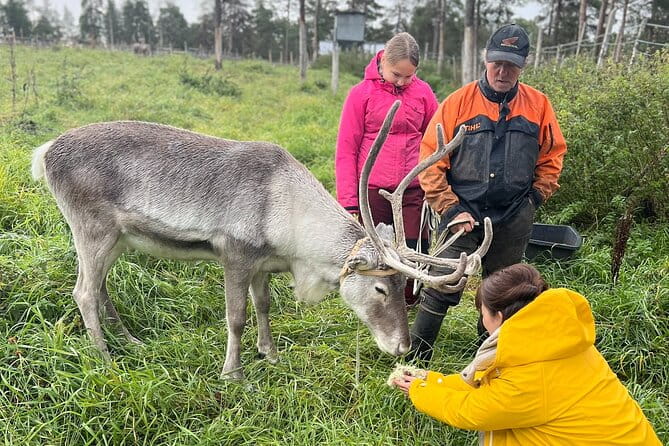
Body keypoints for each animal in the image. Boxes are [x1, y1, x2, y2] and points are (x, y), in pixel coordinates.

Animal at [31, 101, 491, 379]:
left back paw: (130, 342)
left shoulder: (263, 263)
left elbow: (264, 306)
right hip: (92, 228)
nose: (402, 346)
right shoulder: (234, 252)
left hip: (117, 239)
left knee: (100, 287)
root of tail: (45, 151)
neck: (290, 230)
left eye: (405, 285)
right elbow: (236, 316)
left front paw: (269, 354)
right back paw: (105, 358)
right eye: (380, 288)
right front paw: (232, 372)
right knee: (83, 291)